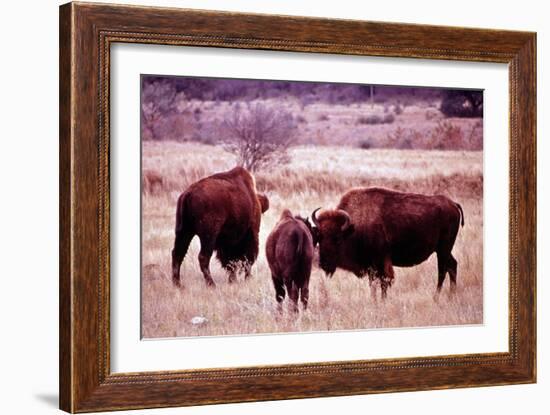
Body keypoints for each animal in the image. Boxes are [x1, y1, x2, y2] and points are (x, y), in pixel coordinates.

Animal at [312, 188, 464, 300]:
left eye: (337, 238)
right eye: (319, 237)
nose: (324, 263)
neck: (353, 228)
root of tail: (453, 204)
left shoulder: (381, 262)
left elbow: (384, 282)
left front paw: (382, 302)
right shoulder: (371, 266)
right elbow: (373, 284)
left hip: (443, 249)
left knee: (443, 270)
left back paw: (436, 297)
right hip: (443, 250)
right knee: (452, 265)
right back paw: (451, 296)